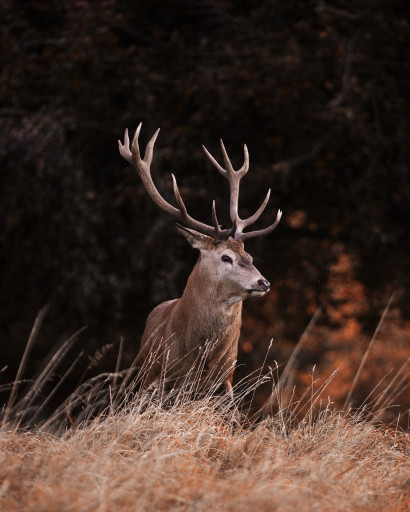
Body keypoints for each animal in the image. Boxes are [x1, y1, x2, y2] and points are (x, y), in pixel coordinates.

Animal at [117, 124, 280, 412]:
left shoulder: (225, 380)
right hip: (143, 375)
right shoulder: (163, 379)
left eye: (249, 255)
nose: (263, 282)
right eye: (226, 257)